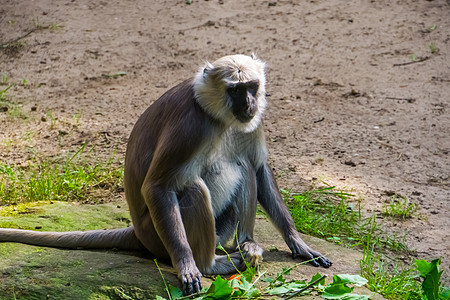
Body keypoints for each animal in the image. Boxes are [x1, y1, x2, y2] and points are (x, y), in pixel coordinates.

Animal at [0, 54, 330, 296]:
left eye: (251, 87)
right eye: (235, 90)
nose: (249, 103)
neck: (217, 117)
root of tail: (139, 232)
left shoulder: (252, 123)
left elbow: (259, 169)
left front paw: (299, 244)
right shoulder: (191, 125)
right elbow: (157, 187)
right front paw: (186, 264)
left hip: (222, 230)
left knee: (244, 167)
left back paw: (246, 244)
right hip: (159, 236)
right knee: (194, 188)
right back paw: (209, 265)